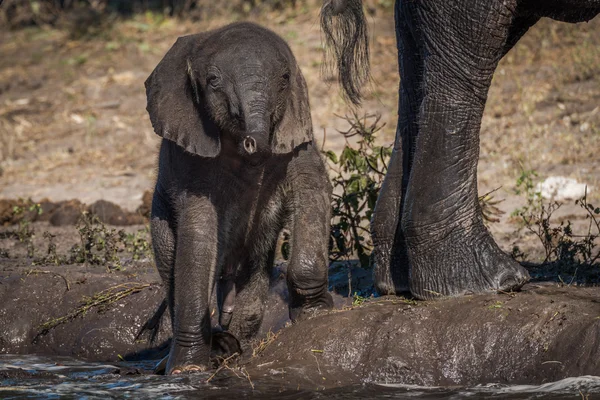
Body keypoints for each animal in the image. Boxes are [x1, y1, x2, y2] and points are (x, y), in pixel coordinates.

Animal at [145, 22, 332, 376]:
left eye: (285, 79)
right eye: (213, 81)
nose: (252, 141)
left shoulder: (296, 135)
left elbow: (313, 187)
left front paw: (317, 316)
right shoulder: (192, 157)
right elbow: (198, 233)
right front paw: (188, 370)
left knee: (252, 273)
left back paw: (235, 345)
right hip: (159, 216)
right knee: (172, 265)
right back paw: (219, 347)